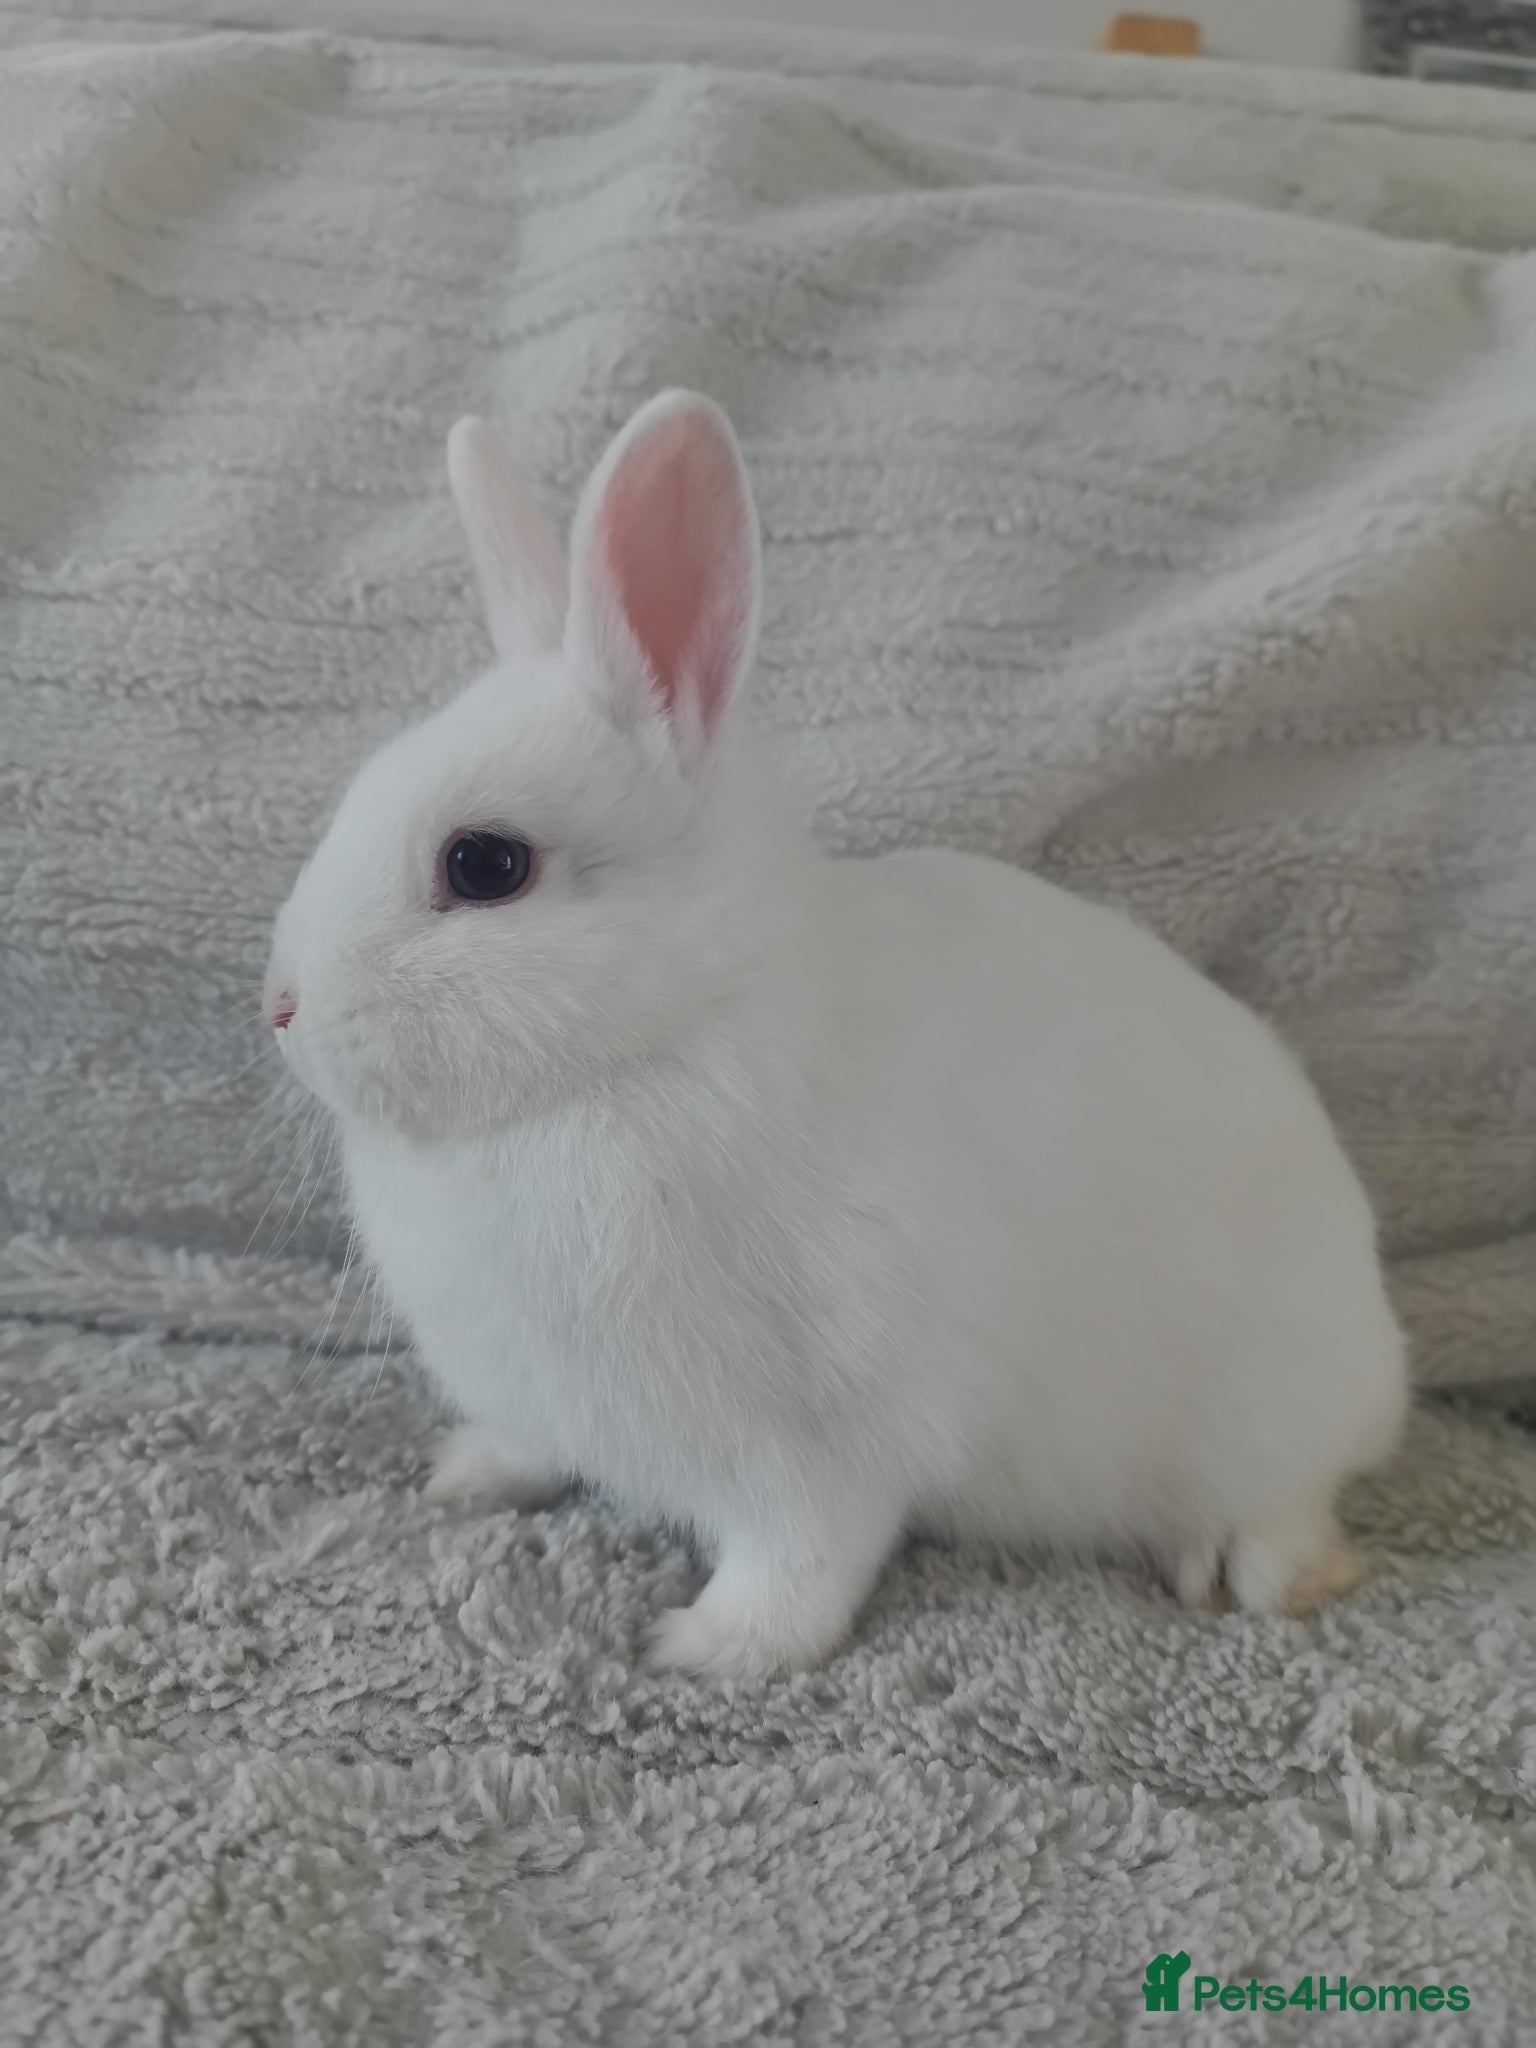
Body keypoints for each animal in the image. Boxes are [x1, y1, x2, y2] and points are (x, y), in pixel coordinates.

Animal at [265, 389, 1408, 1680]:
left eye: (485, 863)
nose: (280, 1005)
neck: (655, 1037)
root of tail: (1380, 1360)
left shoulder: (821, 1432)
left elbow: (803, 1555)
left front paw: (708, 1646)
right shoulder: (543, 1390)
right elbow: (525, 1441)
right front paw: (460, 1477)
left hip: (1262, 1408)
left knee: (1293, 1497)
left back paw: (1258, 1572)